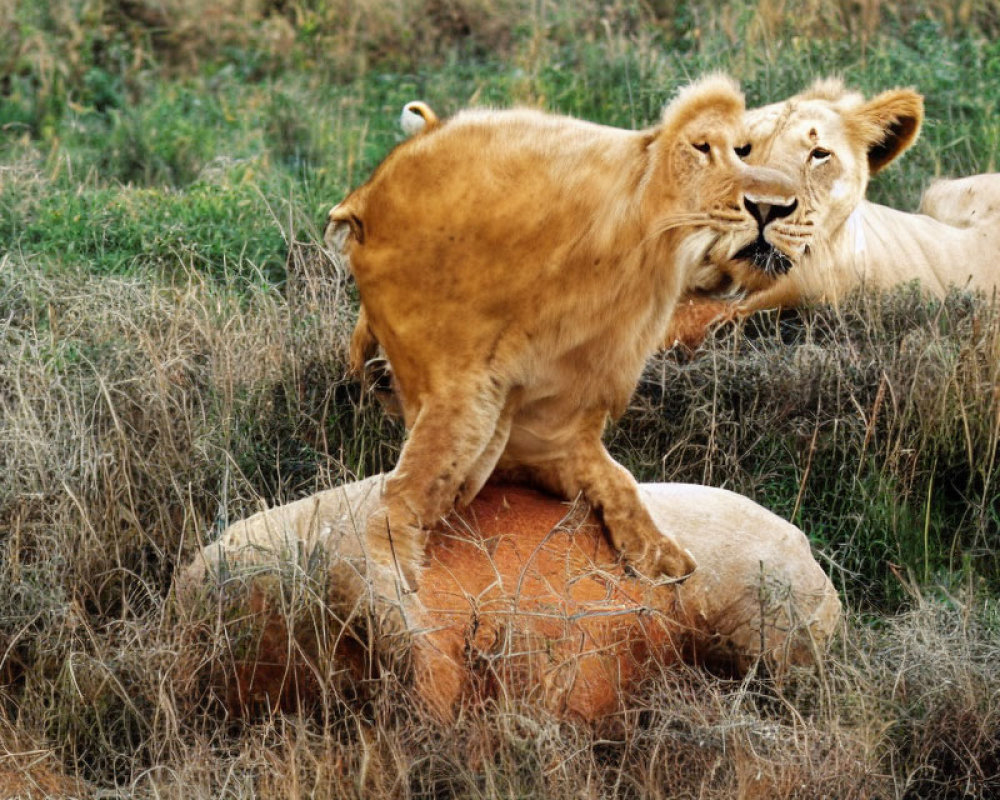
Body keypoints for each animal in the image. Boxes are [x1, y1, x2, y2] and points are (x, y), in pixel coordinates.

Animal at [328, 76, 796, 588]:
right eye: (701, 148)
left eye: (745, 150)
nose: (774, 207)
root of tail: (361, 199)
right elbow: (408, 496)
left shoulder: (556, 435)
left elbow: (621, 483)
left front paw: (661, 558)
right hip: (461, 403)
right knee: (398, 500)